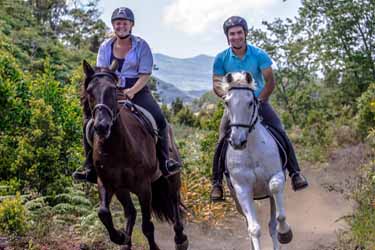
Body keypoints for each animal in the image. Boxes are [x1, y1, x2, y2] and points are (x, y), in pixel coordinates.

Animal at [82, 60, 188, 250]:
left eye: (113, 90)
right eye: (89, 91)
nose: (101, 126)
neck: (118, 148)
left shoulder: (144, 187)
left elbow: (147, 226)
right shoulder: (107, 183)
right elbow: (103, 212)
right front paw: (119, 237)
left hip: (171, 177)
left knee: (174, 201)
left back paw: (180, 239)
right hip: (122, 189)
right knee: (130, 212)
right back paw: (125, 243)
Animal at [223, 71, 294, 249]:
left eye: (250, 102)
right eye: (227, 102)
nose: (237, 142)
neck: (251, 150)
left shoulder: (277, 177)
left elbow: (278, 212)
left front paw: (285, 233)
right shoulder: (242, 190)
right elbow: (254, 229)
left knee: (273, 224)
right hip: (237, 200)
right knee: (249, 224)